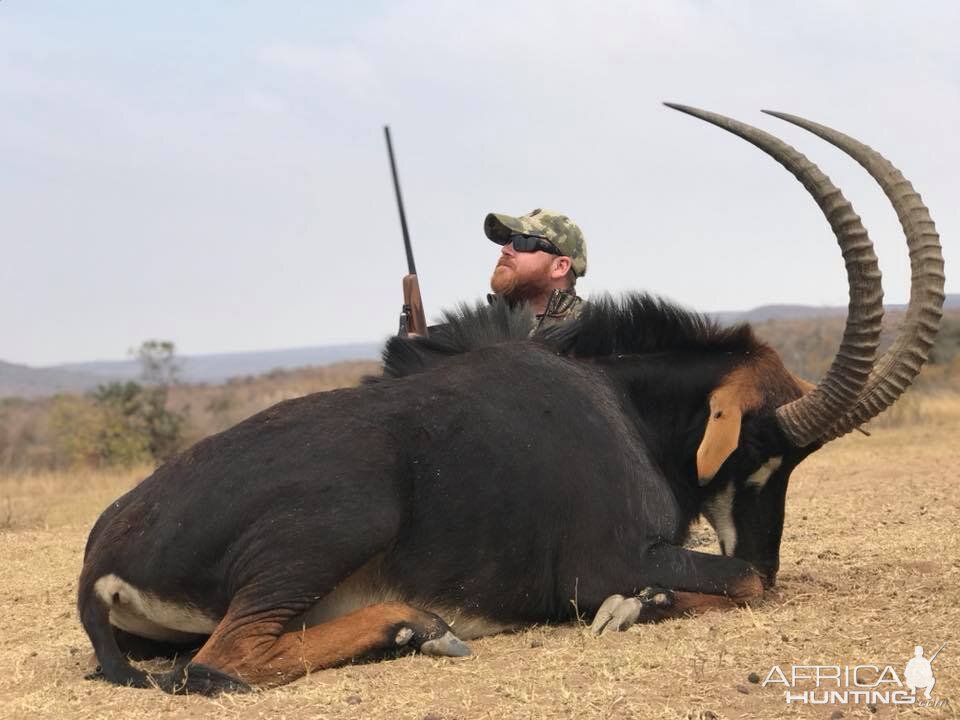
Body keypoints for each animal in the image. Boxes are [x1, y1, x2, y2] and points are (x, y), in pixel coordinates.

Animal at [77, 105, 944, 692]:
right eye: (761, 449)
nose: (765, 547)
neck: (624, 407)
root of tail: (101, 556)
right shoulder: (607, 562)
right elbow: (739, 585)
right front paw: (641, 604)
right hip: (342, 518)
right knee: (219, 663)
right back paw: (415, 626)